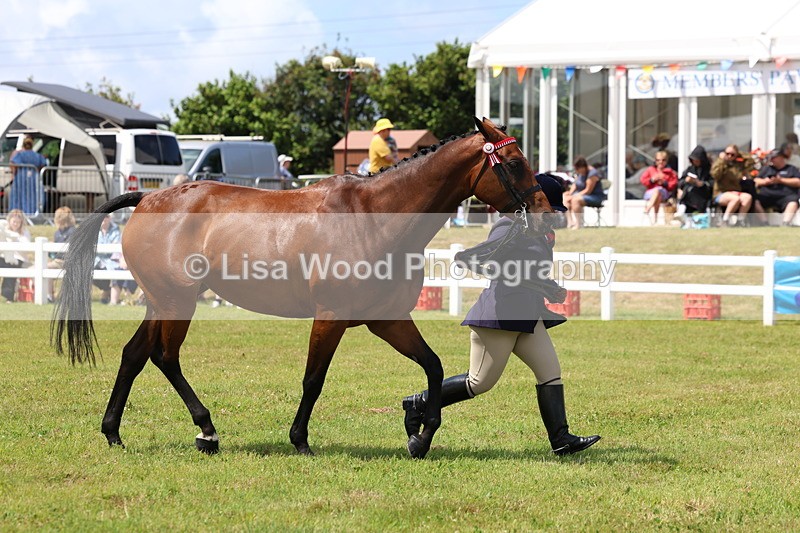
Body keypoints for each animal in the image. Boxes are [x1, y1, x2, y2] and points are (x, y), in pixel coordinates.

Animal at [52, 117, 555, 459]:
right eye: (514, 163)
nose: (546, 214)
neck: (374, 217)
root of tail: (150, 196)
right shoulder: (330, 318)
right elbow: (314, 379)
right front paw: (300, 440)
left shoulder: (386, 319)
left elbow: (432, 367)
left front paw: (420, 436)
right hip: (178, 301)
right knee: (164, 357)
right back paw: (206, 430)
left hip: (160, 302)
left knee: (135, 356)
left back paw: (114, 432)